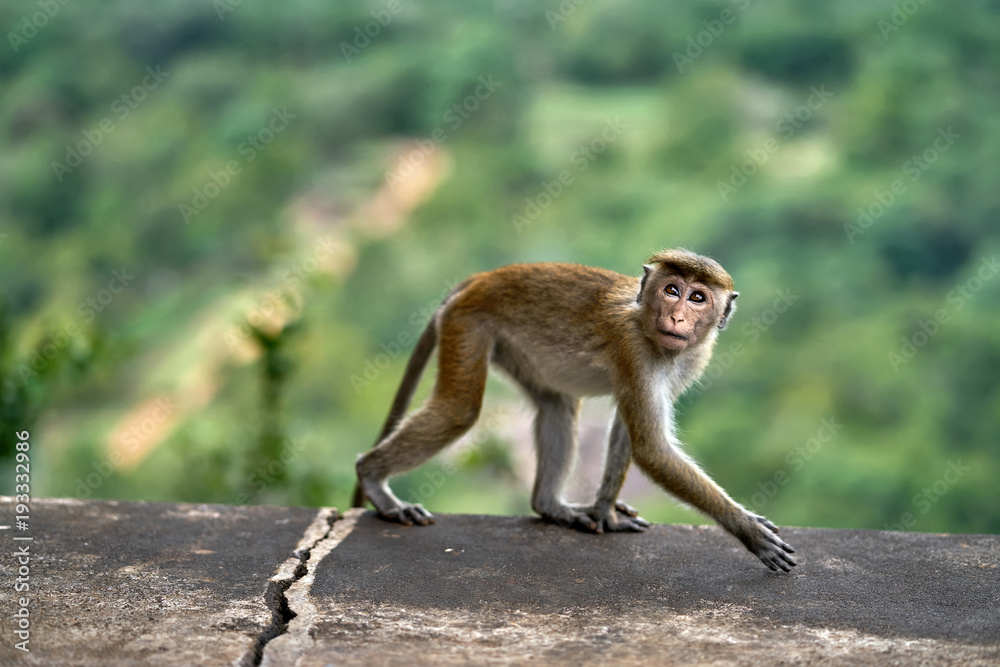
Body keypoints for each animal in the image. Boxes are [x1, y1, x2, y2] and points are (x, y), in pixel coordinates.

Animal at [352, 249, 796, 572]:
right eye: (672, 290)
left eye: (698, 297)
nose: (677, 316)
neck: (648, 325)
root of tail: (484, 277)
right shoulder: (633, 349)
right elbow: (651, 448)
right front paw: (748, 530)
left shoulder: (688, 361)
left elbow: (629, 430)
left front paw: (605, 512)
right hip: (468, 324)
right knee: (457, 411)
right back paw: (375, 482)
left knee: (557, 406)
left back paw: (551, 506)